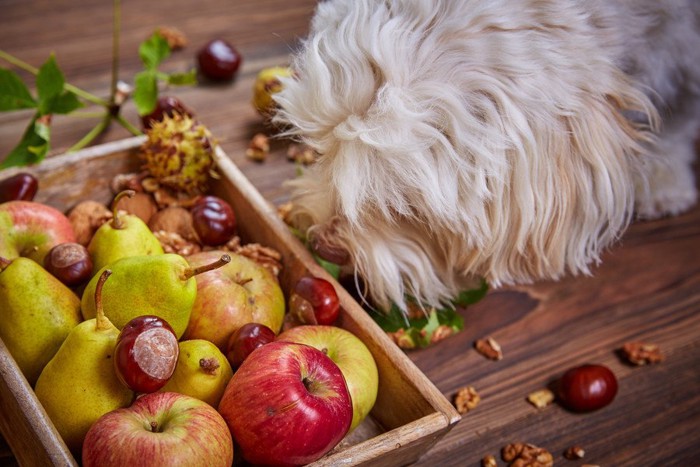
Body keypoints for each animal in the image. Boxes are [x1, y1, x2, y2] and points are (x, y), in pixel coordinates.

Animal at [274, 1, 700, 312]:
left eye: (405, 207)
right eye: (322, 151)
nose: (321, 245)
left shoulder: (681, 56)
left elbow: (679, 118)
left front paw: (664, 180)